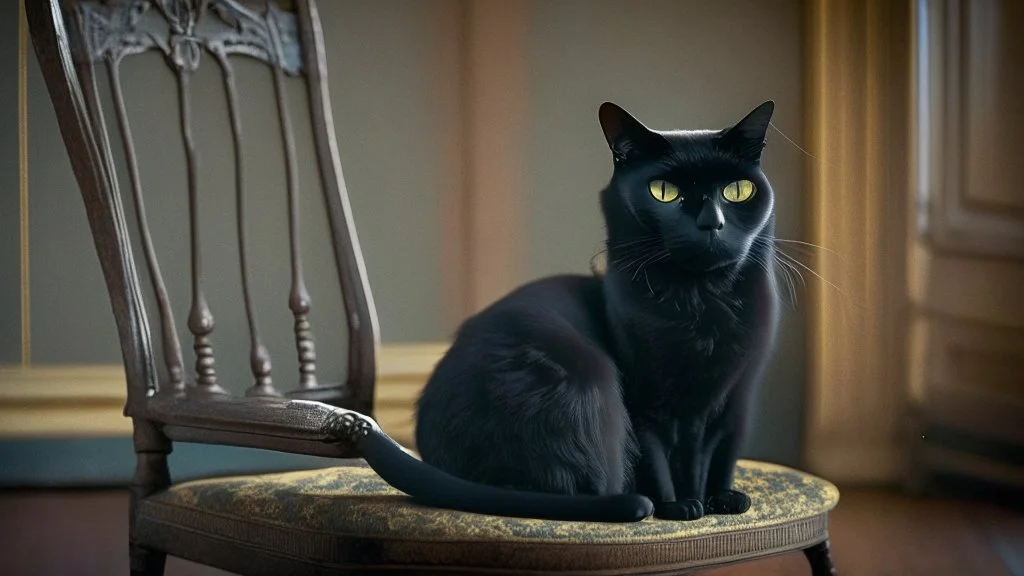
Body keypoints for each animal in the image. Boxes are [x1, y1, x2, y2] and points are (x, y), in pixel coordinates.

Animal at [356, 100, 778, 522]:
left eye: (737, 190)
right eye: (663, 192)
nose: (711, 223)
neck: (701, 304)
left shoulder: (736, 398)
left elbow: (715, 456)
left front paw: (721, 499)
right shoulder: (644, 402)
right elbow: (657, 457)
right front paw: (678, 506)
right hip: (590, 374)